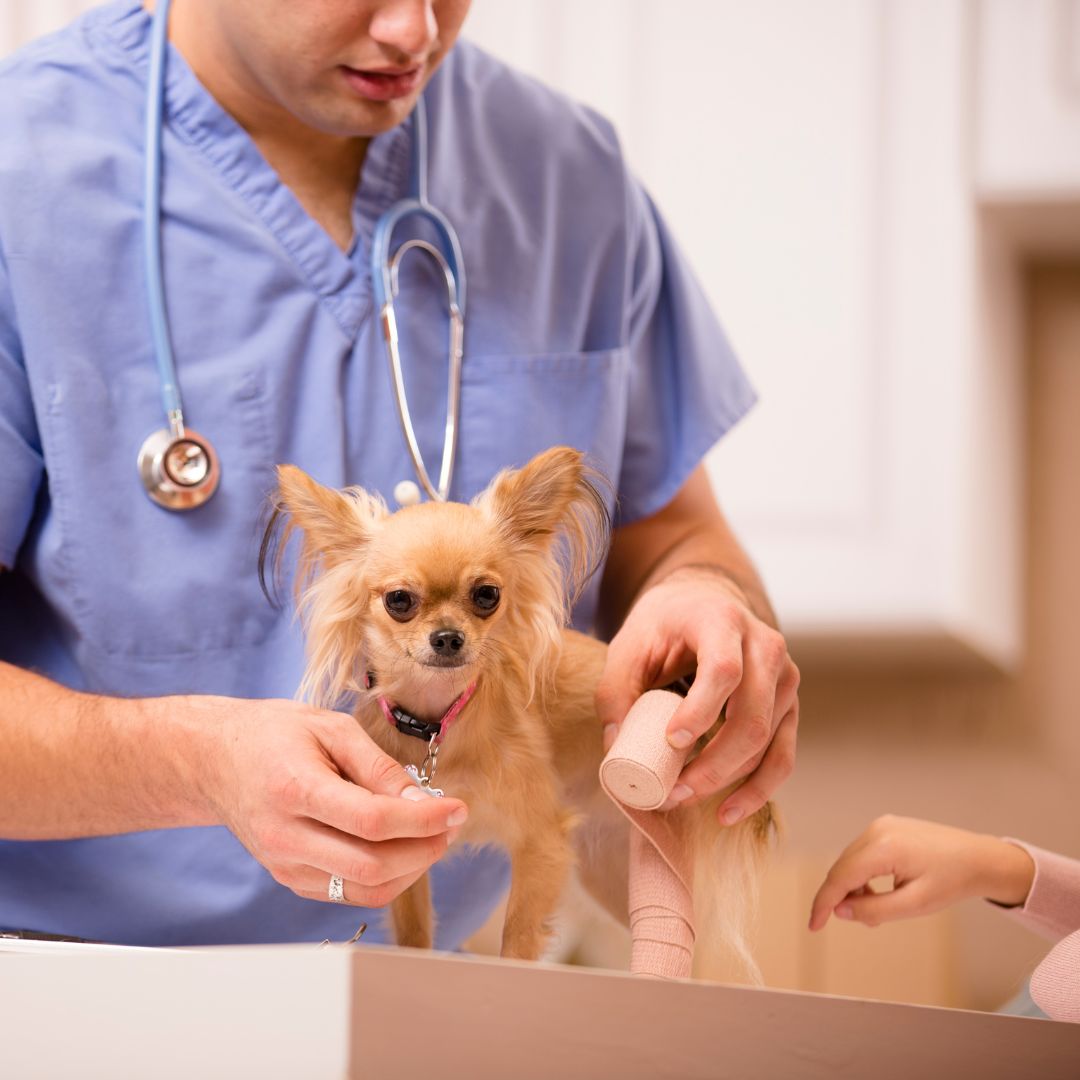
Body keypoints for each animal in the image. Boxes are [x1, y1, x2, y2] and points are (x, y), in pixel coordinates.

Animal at [270, 447, 777, 980]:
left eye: (486, 595)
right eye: (399, 600)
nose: (448, 637)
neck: (439, 723)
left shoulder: (541, 844)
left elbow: (518, 936)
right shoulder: (403, 847)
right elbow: (413, 929)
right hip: (609, 869)